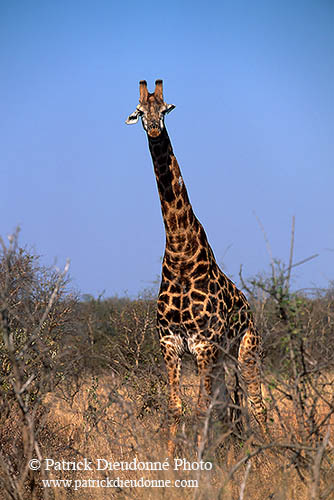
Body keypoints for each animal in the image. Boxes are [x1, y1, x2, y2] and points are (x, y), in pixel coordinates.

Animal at [125, 79, 266, 454]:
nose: (154, 130)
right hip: (223, 360)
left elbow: (202, 409)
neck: (179, 250)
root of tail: (250, 308)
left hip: (246, 351)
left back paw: (268, 451)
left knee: (256, 404)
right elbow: (176, 407)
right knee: (231, 405)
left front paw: (202, 462)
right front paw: (171, 462)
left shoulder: (204, 344)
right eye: (140, 112)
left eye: (165, 109)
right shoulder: (170, 343)